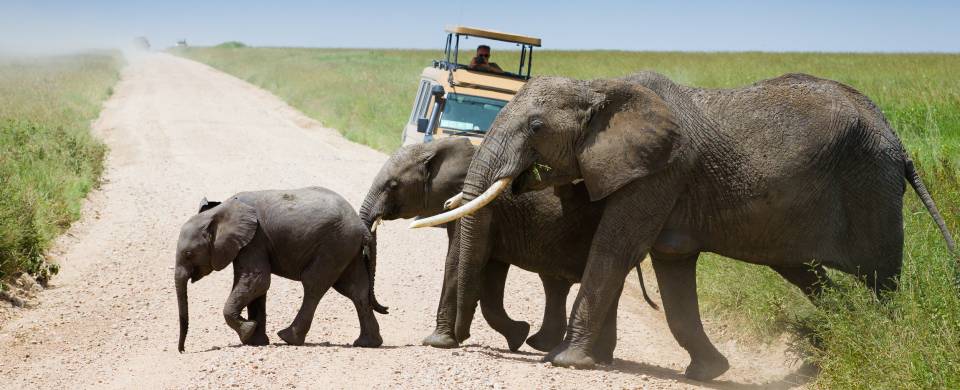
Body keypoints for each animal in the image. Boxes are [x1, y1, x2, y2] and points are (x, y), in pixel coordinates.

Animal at [172, 187, 386, 354]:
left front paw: (248, 331)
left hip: (334, 245)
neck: (219, 211)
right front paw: (255, 341)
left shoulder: (254, 240)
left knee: (313, 285)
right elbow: (255, 288)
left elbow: (258, 281)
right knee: (355, 290)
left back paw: (288, 338)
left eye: (189, 254)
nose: (182, 350)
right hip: (347, 249)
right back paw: (368, 344)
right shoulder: (247, 244)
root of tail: (362, 227)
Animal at [356, 137, 656, 360]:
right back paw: (551, 347)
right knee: (561, 285)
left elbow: (459, 261)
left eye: (393, 185)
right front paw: (516, 335)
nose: (385, 308)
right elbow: (491, 274)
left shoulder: (480, 210)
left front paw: (438, 342)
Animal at [416, 71, 956, 380]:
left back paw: (878, 341)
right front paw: (708, 372)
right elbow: (673, 269)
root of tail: (898, 141)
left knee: (880, 280)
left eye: (535, 127)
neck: (601, 84)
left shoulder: (662, 170)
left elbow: (615, 249)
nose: (446, 343)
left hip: (870, 187)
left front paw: (566, 362)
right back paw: (827, 348)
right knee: (810, 276)